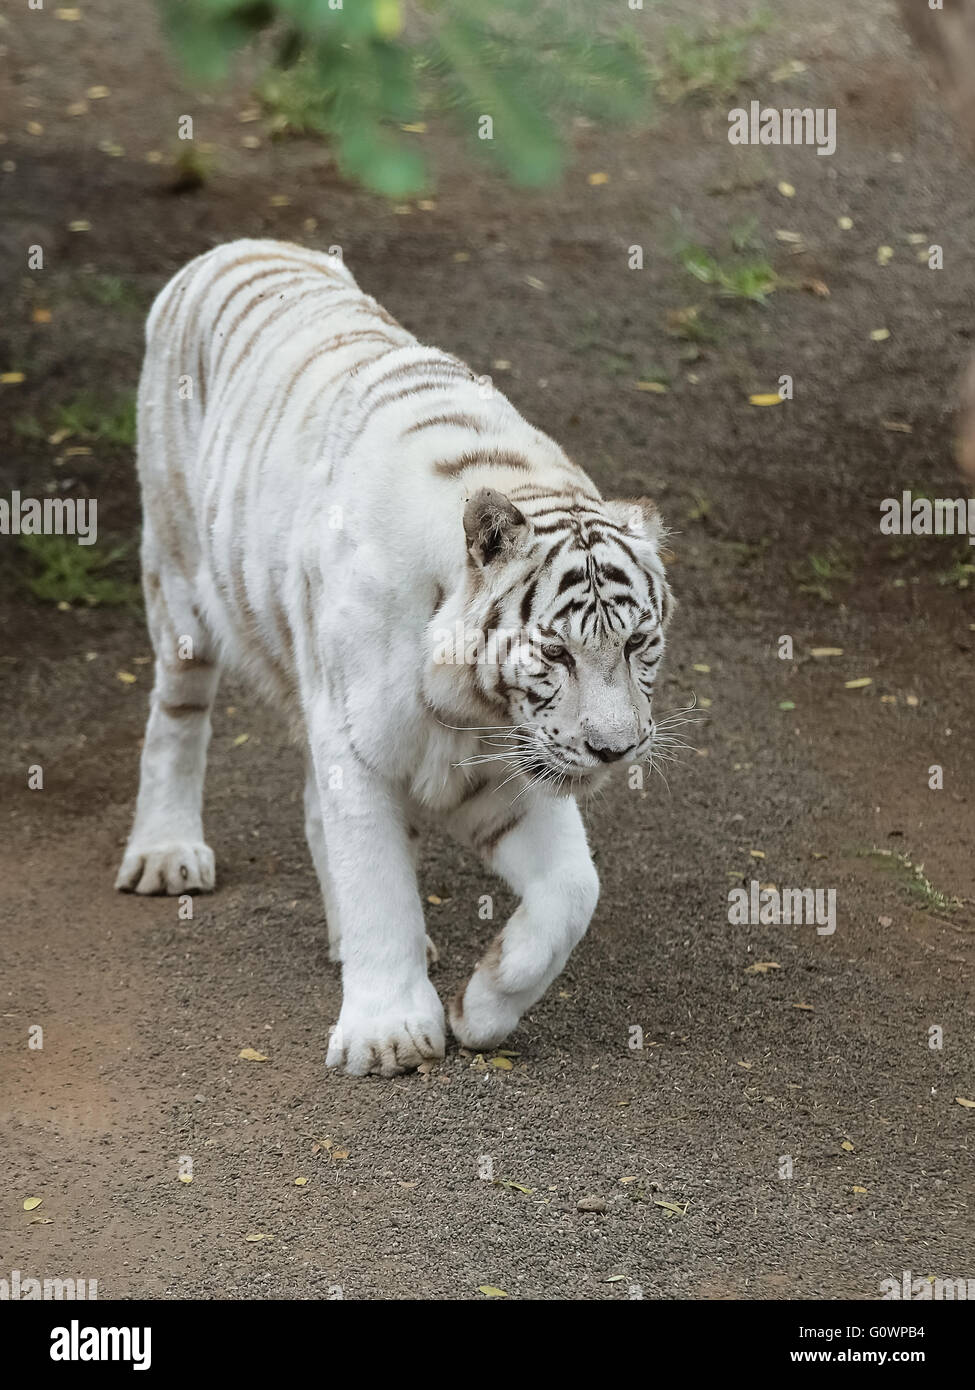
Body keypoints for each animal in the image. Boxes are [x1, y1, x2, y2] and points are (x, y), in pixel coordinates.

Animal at [115, 238, 675, 1076]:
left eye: (637, 643)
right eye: (554, 651)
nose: (614, 750)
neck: (470, 703)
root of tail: (242, 244)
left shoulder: (504, 771)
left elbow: (573, 893)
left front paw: (482, 1008)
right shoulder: (359, 745)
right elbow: (377, 880)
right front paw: (388, 1036)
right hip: (181, 582)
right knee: (177, 717)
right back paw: (166, 853)